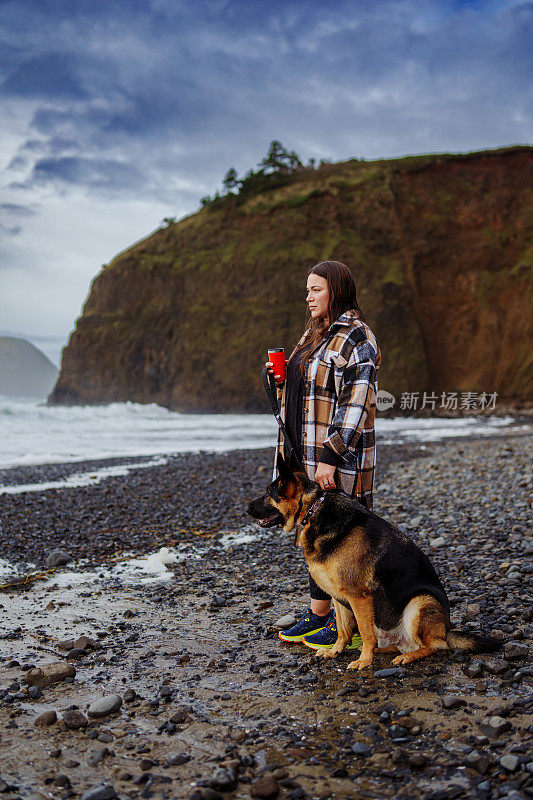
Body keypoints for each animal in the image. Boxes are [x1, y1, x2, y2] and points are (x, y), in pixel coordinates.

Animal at [245, 454, 498, 672]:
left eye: (268, 493)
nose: (246, 507)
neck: (313, 511)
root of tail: (447, 629)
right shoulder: (338, 596)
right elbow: (343, 630)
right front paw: (335, 651)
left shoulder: (359, 597)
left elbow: (365, 633)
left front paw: (364, 661)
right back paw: (385, 650)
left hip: (420, 602)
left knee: (434, 646)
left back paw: (406, 656)